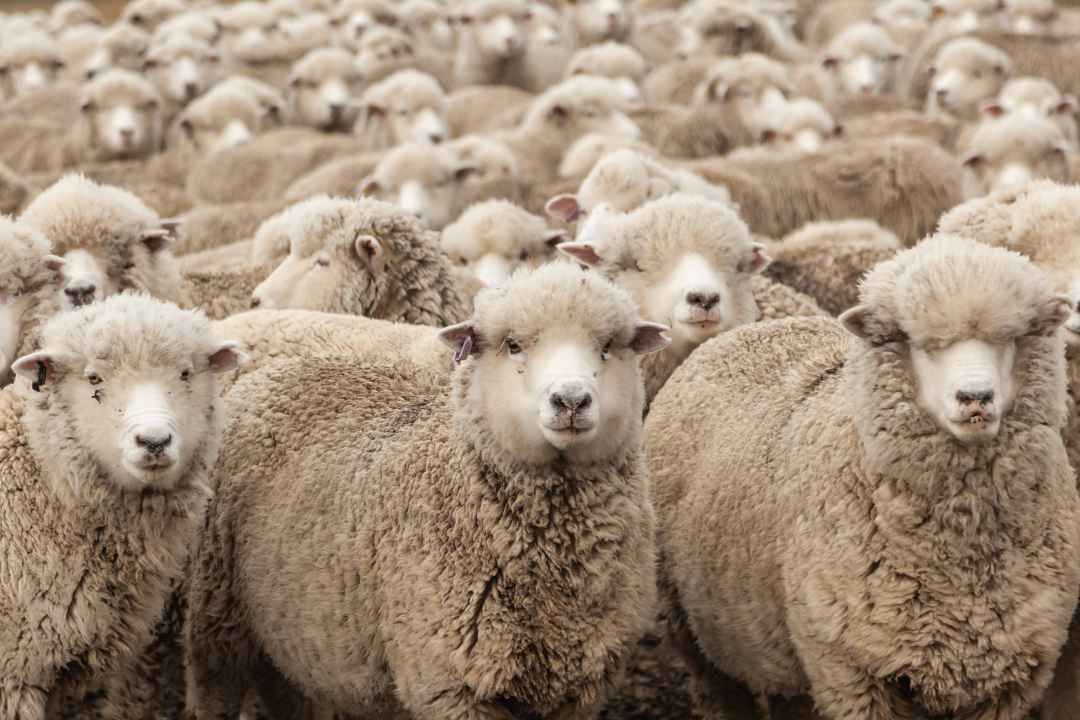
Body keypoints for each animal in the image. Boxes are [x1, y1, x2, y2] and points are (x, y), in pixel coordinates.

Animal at [186, 262, 666, 720]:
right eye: (512, 345)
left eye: (608, 346)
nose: (570, 400)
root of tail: (282, 370)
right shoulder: (450, 686)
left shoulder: (579, 690)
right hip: (217, 616)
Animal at [646, 234, 1080, 720]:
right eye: (921, 344)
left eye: (1010, 338)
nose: (975, 397)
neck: (960, 556)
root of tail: (750, 331)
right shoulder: (852, 671)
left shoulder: (1009, 679)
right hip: (696, 632)